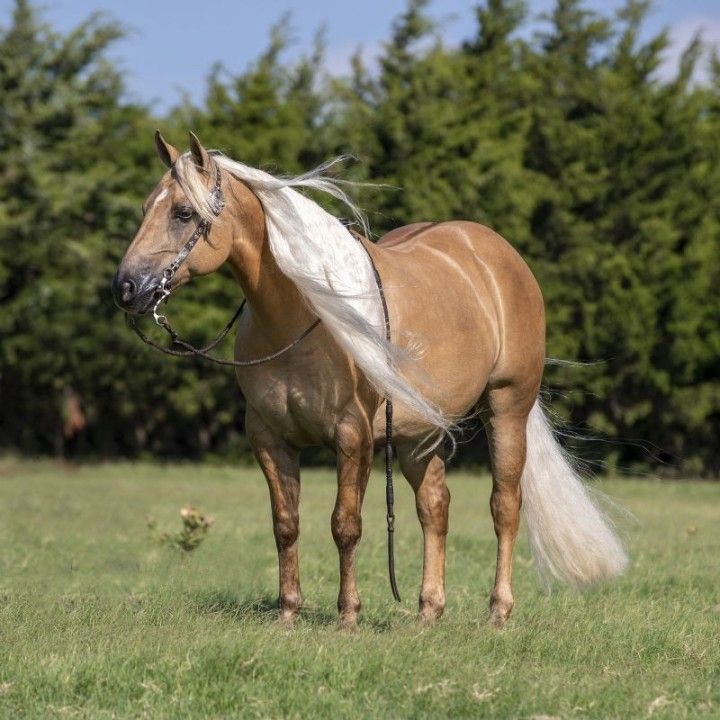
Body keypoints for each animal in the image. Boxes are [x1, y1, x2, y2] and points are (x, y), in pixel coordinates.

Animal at [112, 132, 628, 628]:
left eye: (182, 212)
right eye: (145, 207)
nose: (126, 288)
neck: (303, 313)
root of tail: (496, 255)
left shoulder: (352, 435)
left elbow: (346, 525)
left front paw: (348, 615)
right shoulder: (269, 438)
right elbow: (286, 525)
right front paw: (288, 612)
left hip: (506, 408)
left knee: (504, 505)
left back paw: (498, 611)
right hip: (418, 433)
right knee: (434, 507)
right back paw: (428, 611)